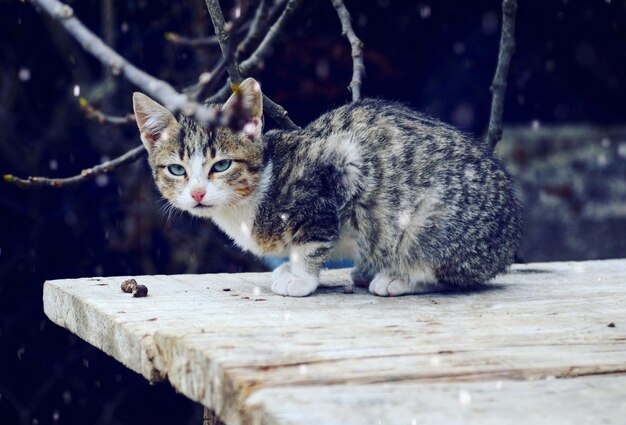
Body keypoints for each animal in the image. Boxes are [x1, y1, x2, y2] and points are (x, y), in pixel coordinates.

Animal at [133, 80, 520, 298]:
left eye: (222, 165)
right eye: (177, 170)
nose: (198, 194)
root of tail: (509, 237)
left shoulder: (335, 168)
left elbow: (312, 239)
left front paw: (302, 278)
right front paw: (289, 269)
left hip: (429, 222)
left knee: (447, 272)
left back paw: (397, 278)